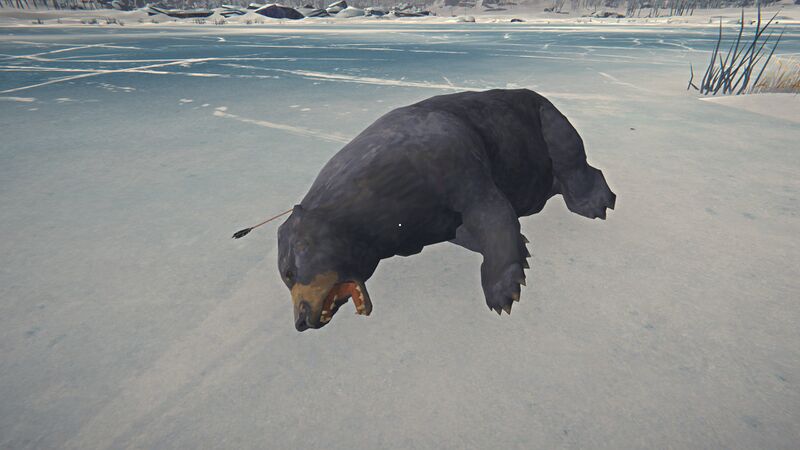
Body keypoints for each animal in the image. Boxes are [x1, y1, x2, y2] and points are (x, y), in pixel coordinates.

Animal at [277, 89, 615, 331]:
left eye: (289, 272)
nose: (300, 321)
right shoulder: (421, 222)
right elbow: (466, 230)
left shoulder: (451, 161)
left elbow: (492, 213)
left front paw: (503, 292)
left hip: (546, 120)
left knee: (571, 160)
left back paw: (596, 202)